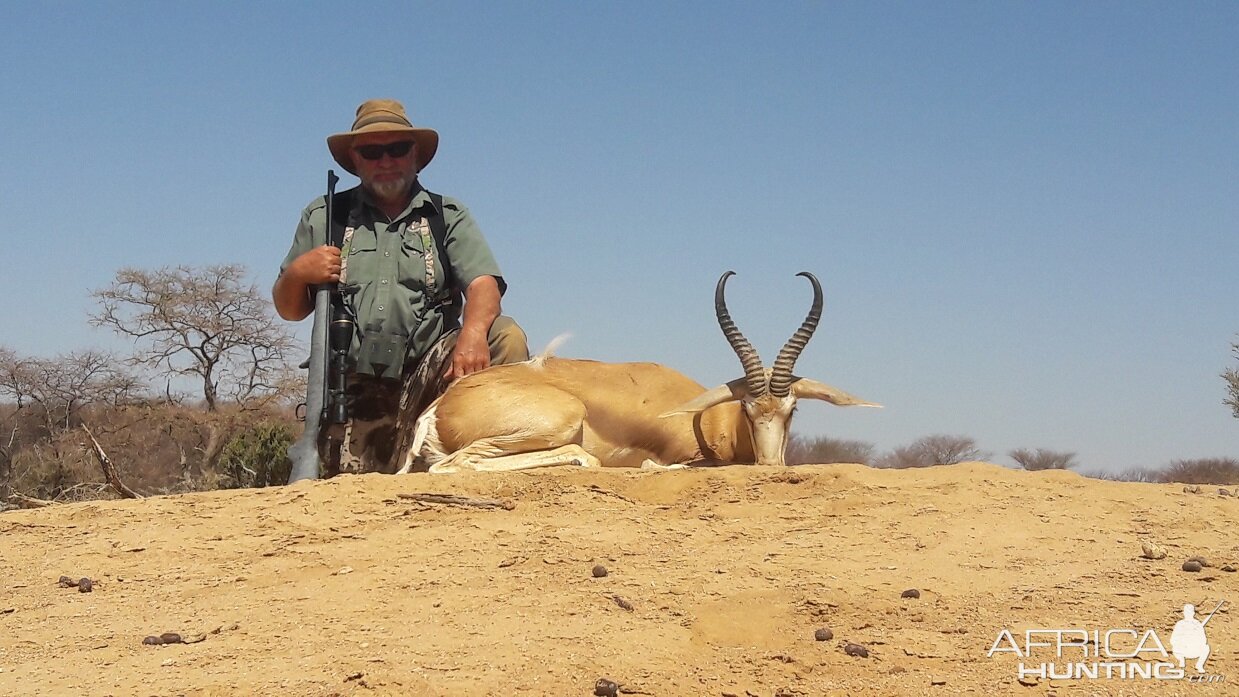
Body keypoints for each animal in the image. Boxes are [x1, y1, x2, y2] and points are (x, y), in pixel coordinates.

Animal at [394, 272, 872, 475]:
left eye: (792, 411)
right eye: (749, 409)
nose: (770, 467)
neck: (710, 419)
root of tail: (440, 406)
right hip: (559, 421)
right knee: (454, 465)